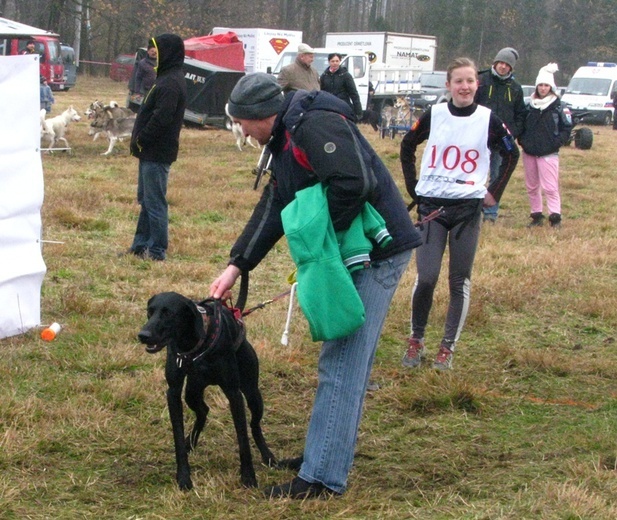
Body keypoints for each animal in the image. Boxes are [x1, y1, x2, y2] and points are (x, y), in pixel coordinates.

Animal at [140, 292, 276, 492]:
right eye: (150, 311)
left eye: (169, 313)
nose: (143, 335)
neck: (193, 345)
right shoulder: (173, 392)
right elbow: (177, 437)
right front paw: (183, 477)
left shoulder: (234, 393)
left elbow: (243, 437)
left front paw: (248, 476)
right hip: (192, 392)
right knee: (203, 411)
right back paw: (191, 442)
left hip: (253, 394)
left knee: (254, 425)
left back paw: (267, 455)